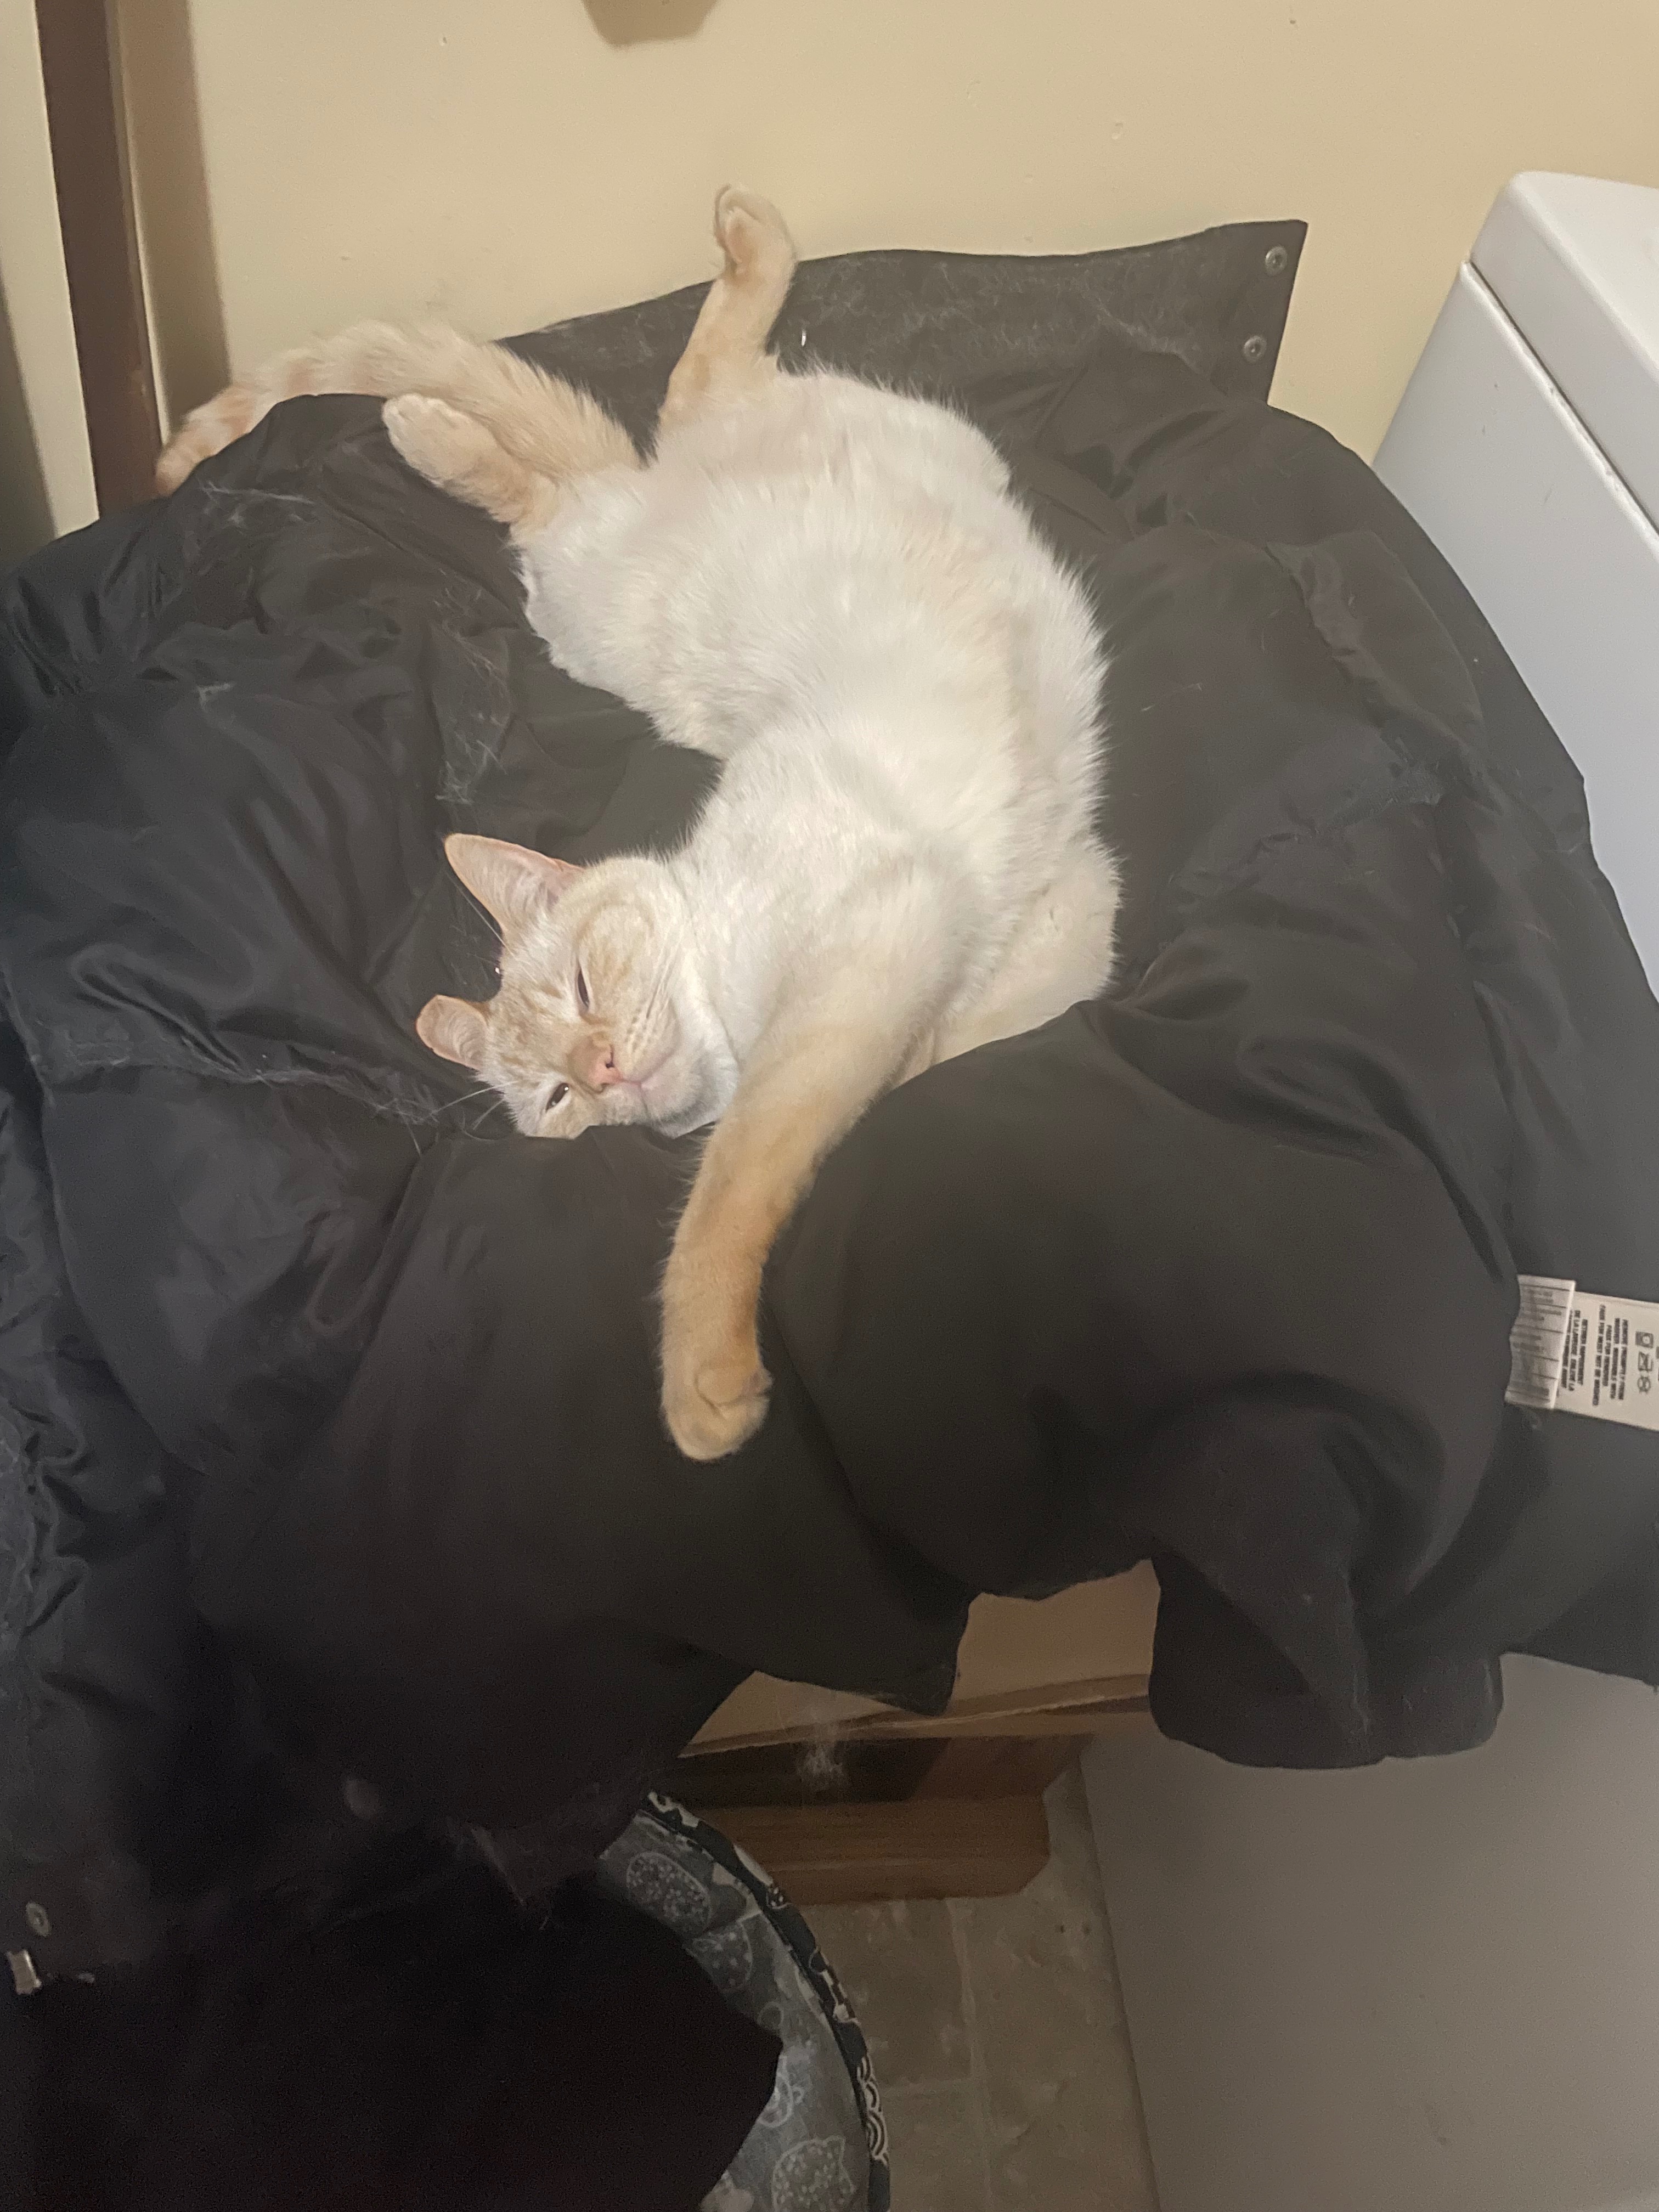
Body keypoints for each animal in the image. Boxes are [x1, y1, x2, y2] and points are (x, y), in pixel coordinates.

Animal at [156, 188, 1120, 1463]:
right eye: (556, 1103)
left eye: (579, 990)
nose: (605, 1067)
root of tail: (668, 492)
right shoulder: (1062, 924)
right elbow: (915, 1068)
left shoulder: (893, 947)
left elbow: (736, 1178)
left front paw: (699, 1371)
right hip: (633, 594)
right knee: (659, 409)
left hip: (646, 559)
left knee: (611, 445)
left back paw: (441, 424)